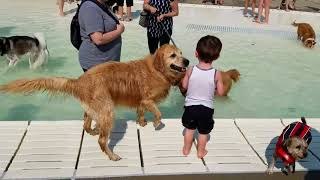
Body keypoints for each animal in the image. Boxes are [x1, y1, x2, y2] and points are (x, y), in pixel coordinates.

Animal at [0, 44, 189, 161]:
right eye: (173, 55)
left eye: (181, 53)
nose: (187, 61)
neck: (158, 69)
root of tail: (80, 81)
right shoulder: (147, 99)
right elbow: (158, 112)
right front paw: (156, 123)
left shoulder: (141, 101)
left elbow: (141, 112)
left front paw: (142, 123)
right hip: (108, 110)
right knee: (102, 141)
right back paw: (112, 155)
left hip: (94, 109)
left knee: (86, 123)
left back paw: (93, 130)